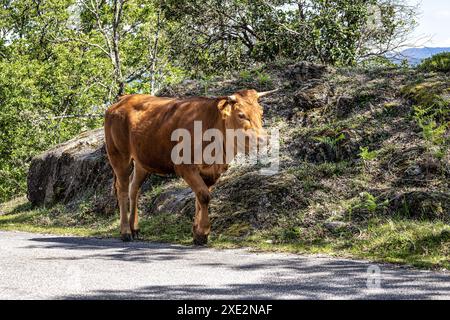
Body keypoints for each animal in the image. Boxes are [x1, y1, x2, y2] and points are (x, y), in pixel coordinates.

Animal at [103, 89, 276, 244]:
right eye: (241, 115)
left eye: (261, 112)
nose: (264, 139)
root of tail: (123, 100)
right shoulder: (185, 167)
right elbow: (204, 196)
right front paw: (203, 233)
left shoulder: (211, 172)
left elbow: (200, 198)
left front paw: (196, 232)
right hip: (118, 154)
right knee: (122, 189)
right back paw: (125, 231)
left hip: (142, 161)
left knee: (134, 188)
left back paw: (134, 228)